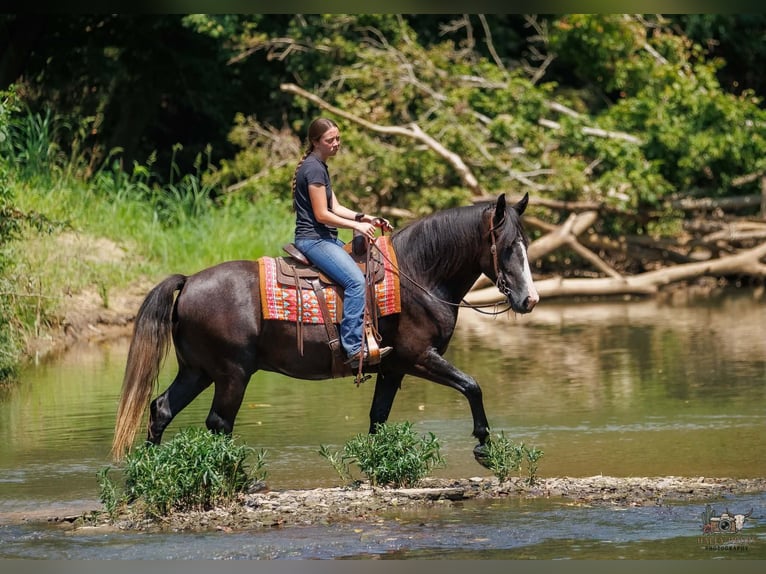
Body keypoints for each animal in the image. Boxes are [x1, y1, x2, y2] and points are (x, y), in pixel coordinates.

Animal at [111, 192, 539, 465]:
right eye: (507, 247)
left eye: (526, 244)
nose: (529, 300)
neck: (418, 276)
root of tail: (188, 283)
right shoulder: (420, 357)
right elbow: (472, 386)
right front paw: (483, 448)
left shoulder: (393, 368)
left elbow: (378, 418)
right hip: (232, 373)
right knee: (218, 423)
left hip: (198, 371)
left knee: (162, 409)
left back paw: (146, 473)